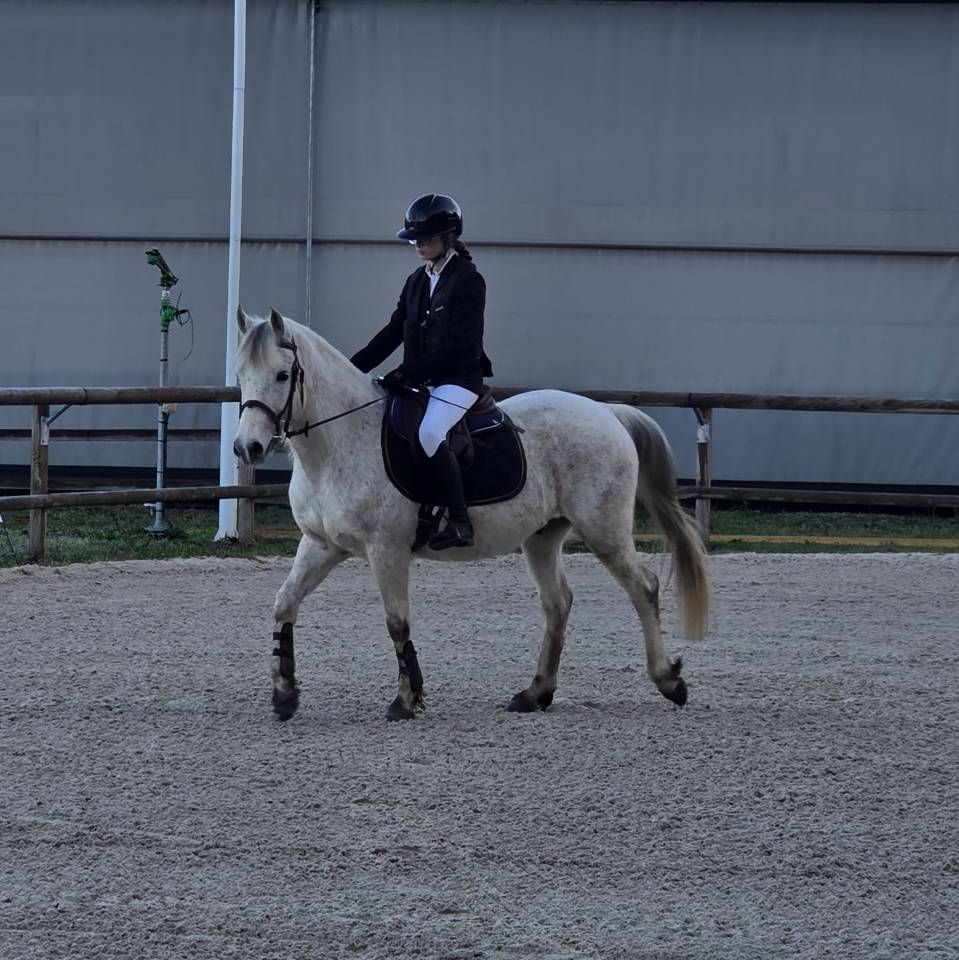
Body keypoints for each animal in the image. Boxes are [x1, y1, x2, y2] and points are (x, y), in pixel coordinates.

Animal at [232, 308, 709, 721]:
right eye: (239, 375)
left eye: (282, 374)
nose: (246, 448)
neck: (339, 443)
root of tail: (607, 411)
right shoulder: (321, 545)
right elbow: (284, 604)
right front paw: (284, 694)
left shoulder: (386, 550)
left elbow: (397, 622)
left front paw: (406, 701)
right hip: (542, 536)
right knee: (558, 602)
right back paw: (535, 693)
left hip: (603, 530)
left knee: (643, 587)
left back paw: (668, 681)